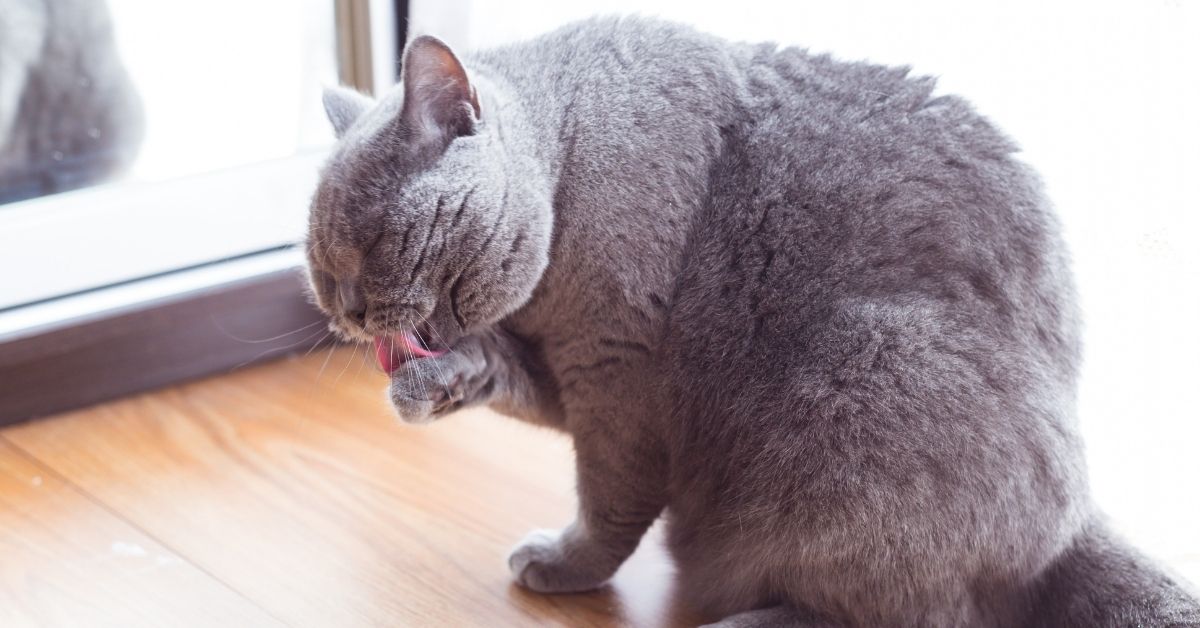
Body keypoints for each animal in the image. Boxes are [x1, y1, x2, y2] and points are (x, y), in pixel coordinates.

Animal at [304, 17, 1195, 624]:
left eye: (373, 242)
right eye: (319, 268)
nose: (347, 310)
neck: (566, 167)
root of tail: (1076, 523)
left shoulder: (617, 376)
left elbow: (611, 498)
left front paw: (566, 562)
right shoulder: (568, 373)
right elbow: (499, 371)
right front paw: (431, 386)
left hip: (867, 371)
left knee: (917, 613)